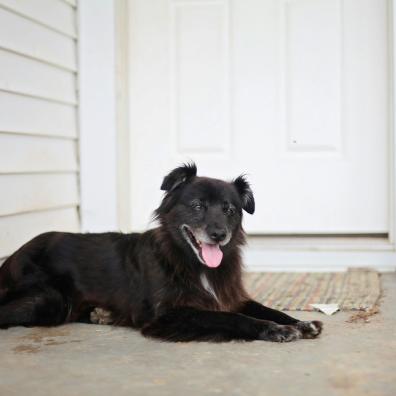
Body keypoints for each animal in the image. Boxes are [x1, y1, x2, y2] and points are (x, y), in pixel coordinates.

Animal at [0, 162, 322, 342]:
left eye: (229, 210)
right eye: (197, 206)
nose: (219, 235)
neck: (192, 263)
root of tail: (14, 255)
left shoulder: (232, 297)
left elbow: (267, 309)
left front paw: (300, 323)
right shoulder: (168, 315)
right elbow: (231, 319)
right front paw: (274, 330)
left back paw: (101, 314)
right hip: (48, 299)